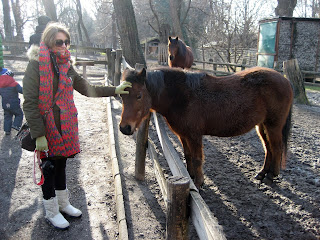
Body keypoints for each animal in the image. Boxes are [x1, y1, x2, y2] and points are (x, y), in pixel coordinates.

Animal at [119, 66, 292, 188]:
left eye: (139, 95)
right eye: (121, 95)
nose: (124, 128)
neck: (181, 96)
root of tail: (284, 80)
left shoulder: (194, 135)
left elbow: (197, 159)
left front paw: (199, 183)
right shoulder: (183, 134)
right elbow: (188, 155)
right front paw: (190, 176)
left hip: (273, 125)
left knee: (276, 148)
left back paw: (271, 176)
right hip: (262, 126)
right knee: (268, 148)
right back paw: (262, 173)